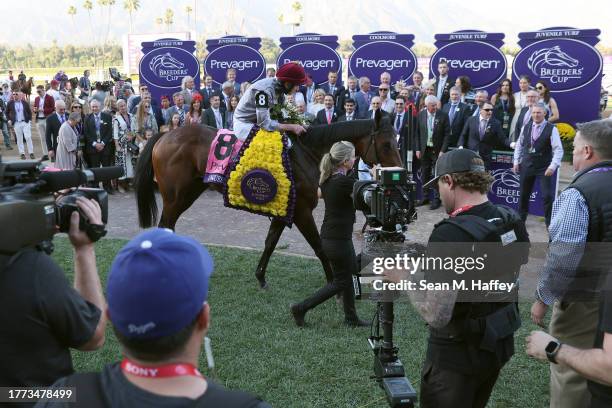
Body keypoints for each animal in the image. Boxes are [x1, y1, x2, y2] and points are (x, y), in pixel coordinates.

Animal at [134, 113, 402, 288]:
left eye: (397, 141)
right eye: (387, 144)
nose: (400, 171)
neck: (306, 153)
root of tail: (165, 135)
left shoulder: (285, 209)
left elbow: (271, 242)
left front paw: (261, 277)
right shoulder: (302, 210)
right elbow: (318, 245)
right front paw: (332, 280)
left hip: (189, 192)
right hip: (176, 197)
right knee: (165, 226)